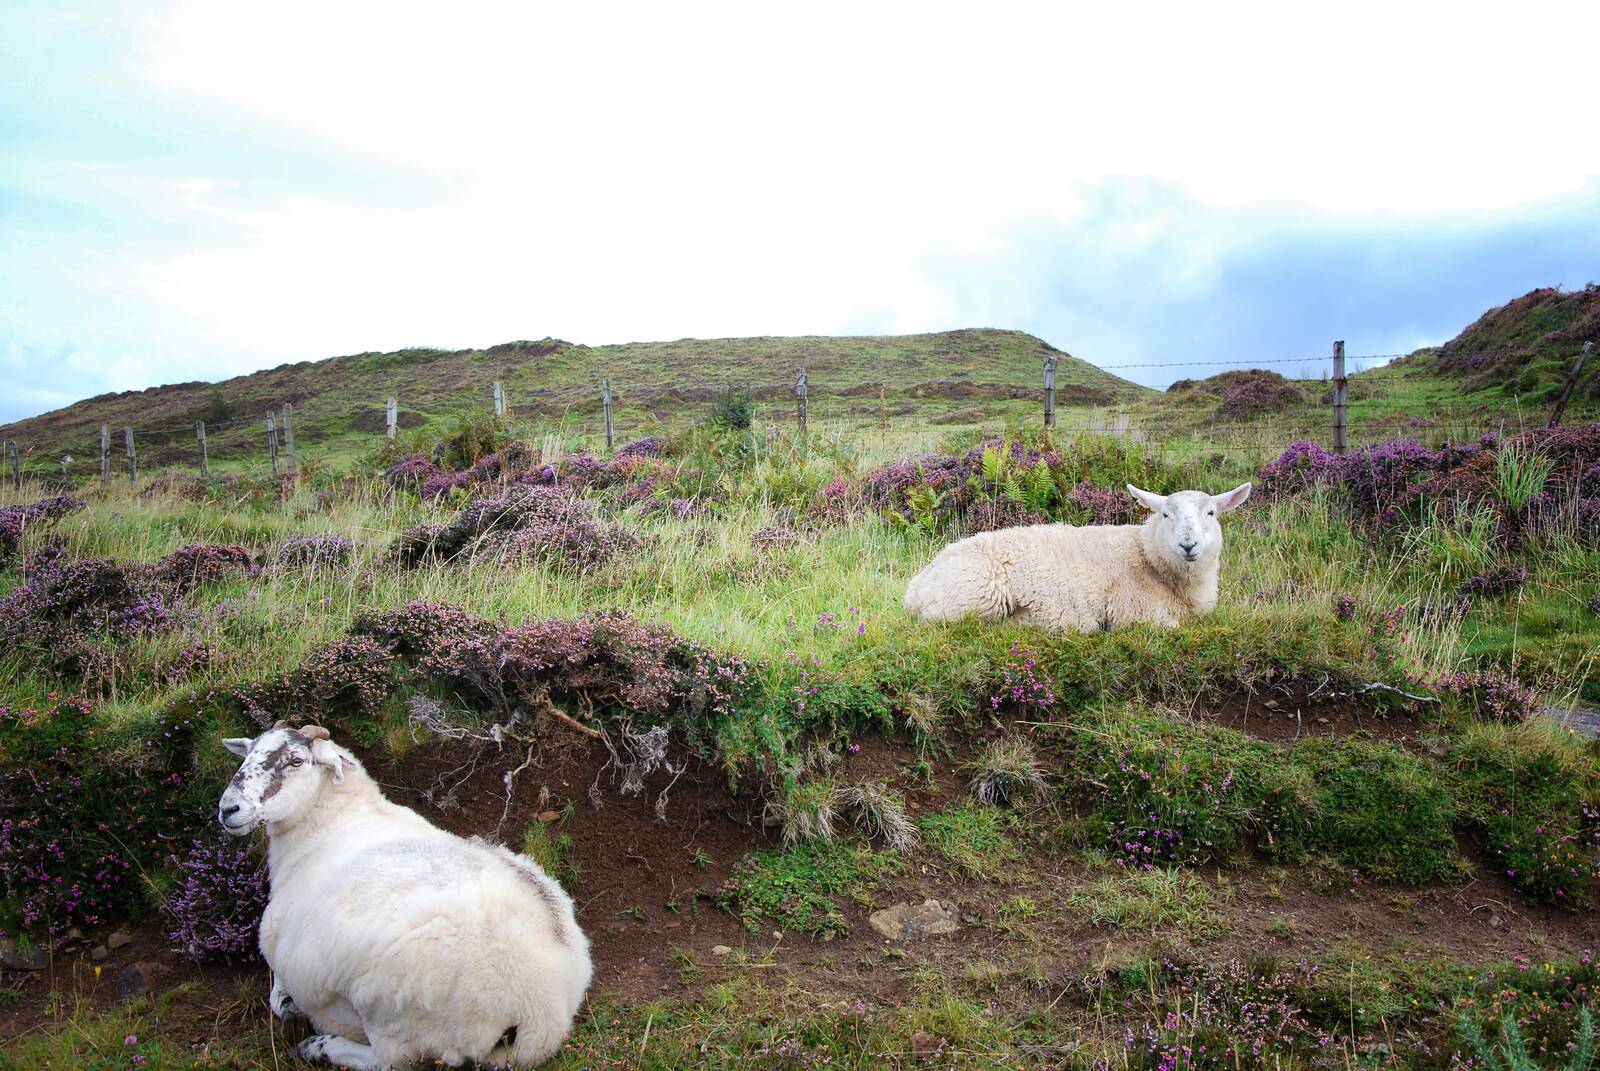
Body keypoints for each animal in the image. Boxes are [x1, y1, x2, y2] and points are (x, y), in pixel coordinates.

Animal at [217, 723, 591, 1069]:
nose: (228, 808)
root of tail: (541, 1015)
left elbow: (277, 995)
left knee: (389, 1061)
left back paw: (318, 1046)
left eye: (296, 761)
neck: (329, 823)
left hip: (394, 1019)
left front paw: (292, 1010)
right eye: (247, 753)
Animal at [903, 482, 1252, 632]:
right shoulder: (1136, 614)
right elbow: (1169, 626)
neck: (1147, 557)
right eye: (1165, 514)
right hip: (976, 598)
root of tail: (916, 587)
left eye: (1211, 513)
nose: (1188, 545)